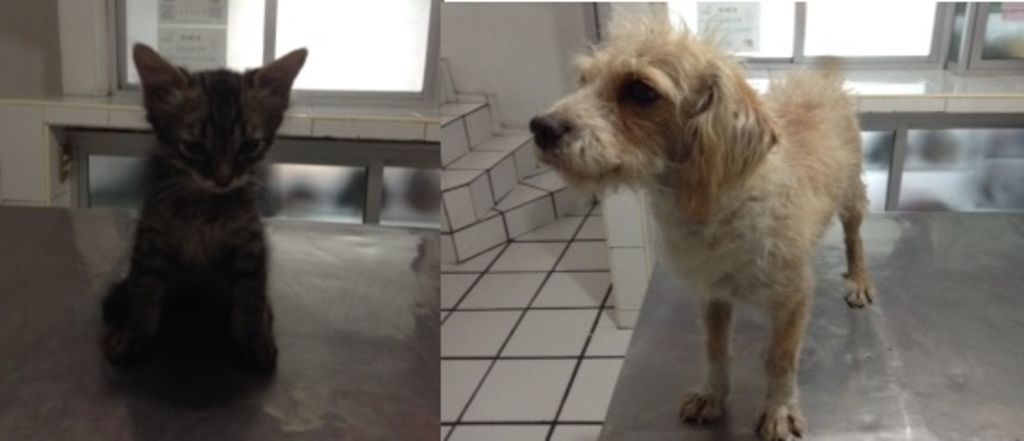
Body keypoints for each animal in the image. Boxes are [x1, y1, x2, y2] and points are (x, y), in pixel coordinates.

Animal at [101, 44, 306, 372]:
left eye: (248, 146)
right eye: (195, 147)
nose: (223, 179)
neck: (204, 204)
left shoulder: (250, 241)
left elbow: (252, 292)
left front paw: (252, 339)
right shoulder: (151, 236)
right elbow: (143, 288)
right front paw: (135, 335)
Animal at [530, 13, 874, 441]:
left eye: (641, 91)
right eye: (583, 80)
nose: (540, 127)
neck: (716, 205)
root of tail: (820, 79)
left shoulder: (793, 296)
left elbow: (780, 359)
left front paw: (778, 409)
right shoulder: (712, 294)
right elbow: (715, 349)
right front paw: (712, 395)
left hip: (851, 197)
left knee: (855, 237)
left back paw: (858, 279)